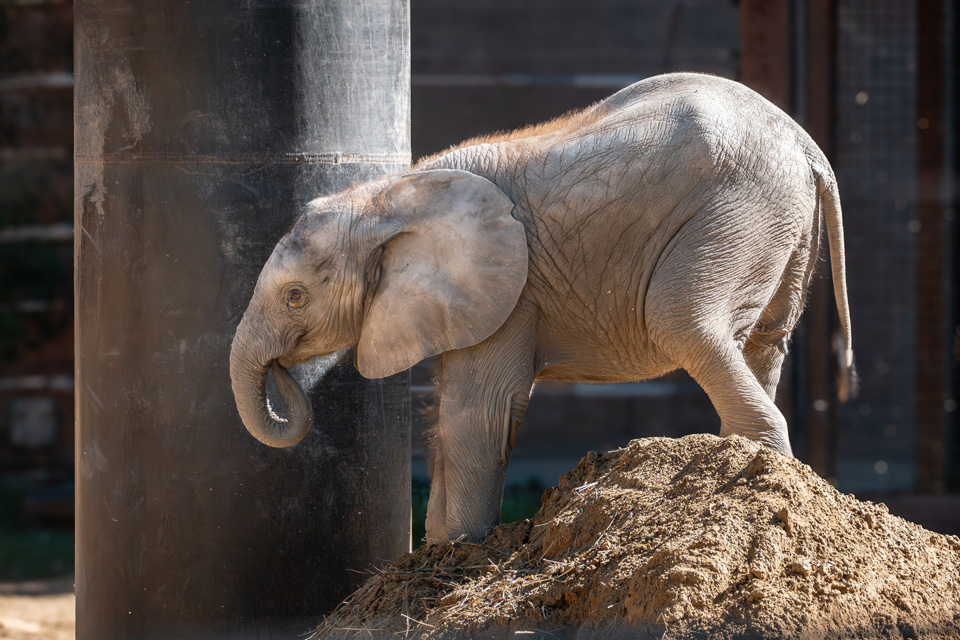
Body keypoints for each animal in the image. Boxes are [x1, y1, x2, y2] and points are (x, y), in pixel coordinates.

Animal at [231, 74, 856, 544]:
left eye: (295, 296)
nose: (285, 378)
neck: (388, 197)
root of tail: (806, 145)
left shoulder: (511, 287)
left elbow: (478, 409)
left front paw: (453, 551)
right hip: (781, 226)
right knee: (765, 341)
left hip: (739, 210)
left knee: (681, 319)